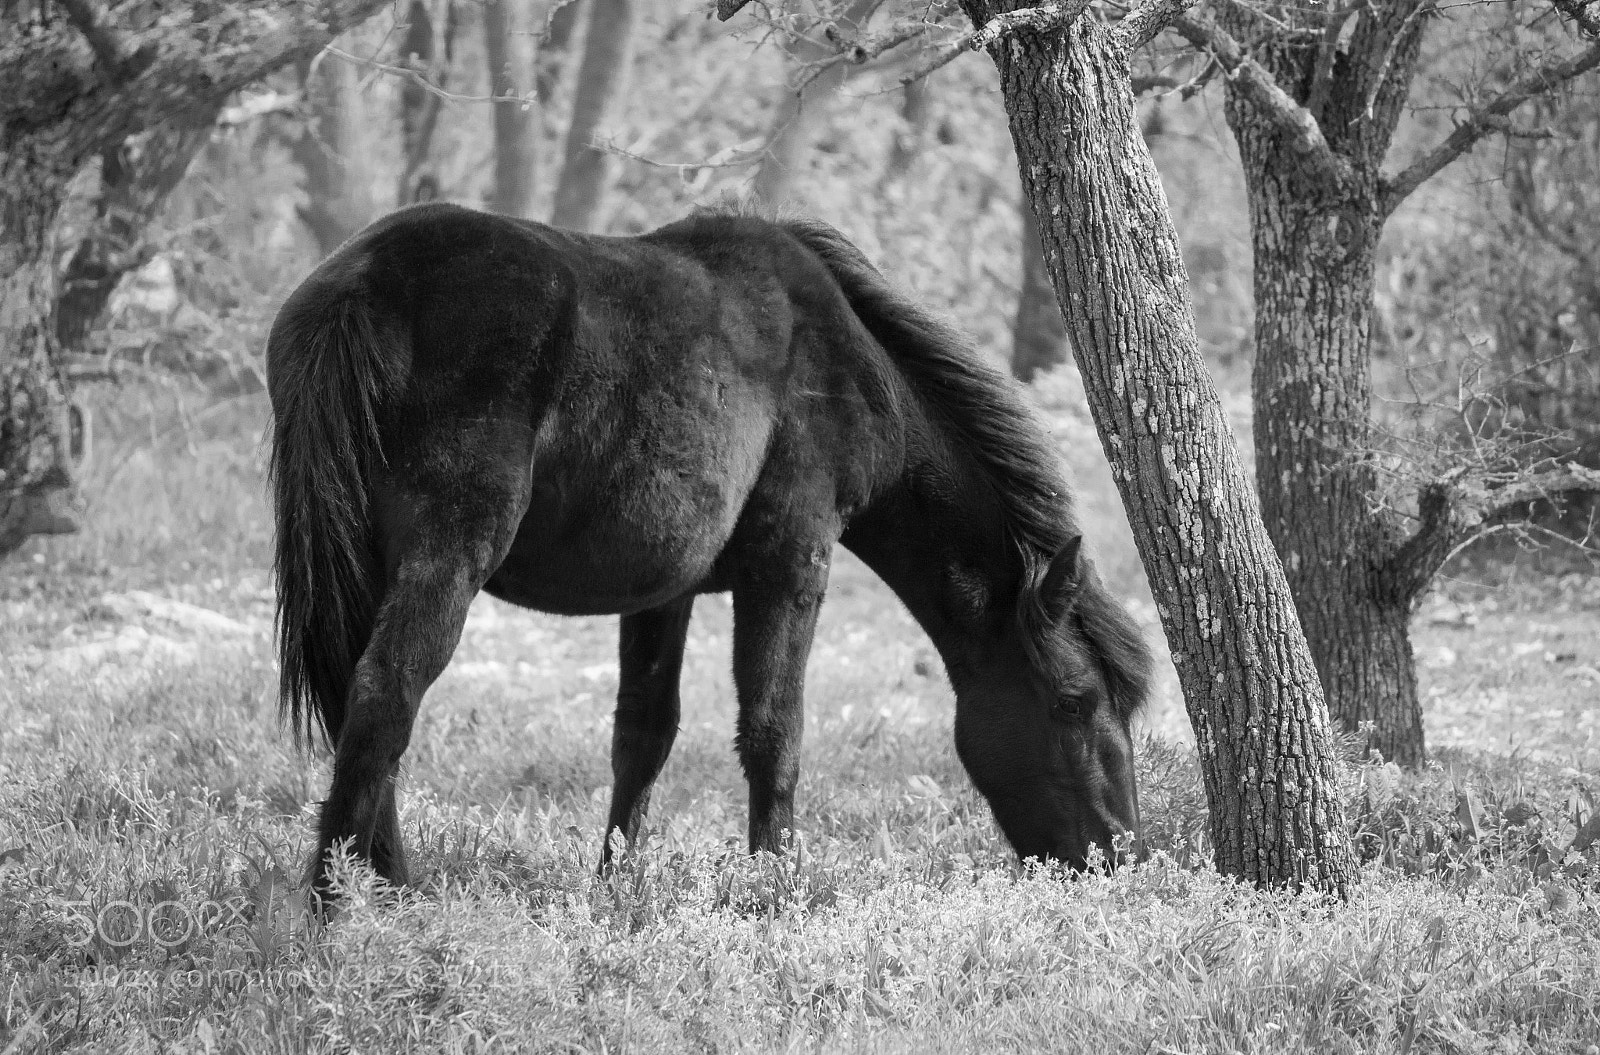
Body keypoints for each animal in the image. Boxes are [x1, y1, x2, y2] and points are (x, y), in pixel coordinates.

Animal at [265, 202, 1152, 899]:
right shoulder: (792, 562)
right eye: (1075, 702)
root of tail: (365, 279)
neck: (847, 357)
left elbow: (643, 735)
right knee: (386, 692)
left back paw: (380, 878)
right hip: (449, 550)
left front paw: (617, 885)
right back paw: (340, 902)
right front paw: (778, 887)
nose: (1121, 857)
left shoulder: (667, 592)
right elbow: (773, 731)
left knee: (356, 696)